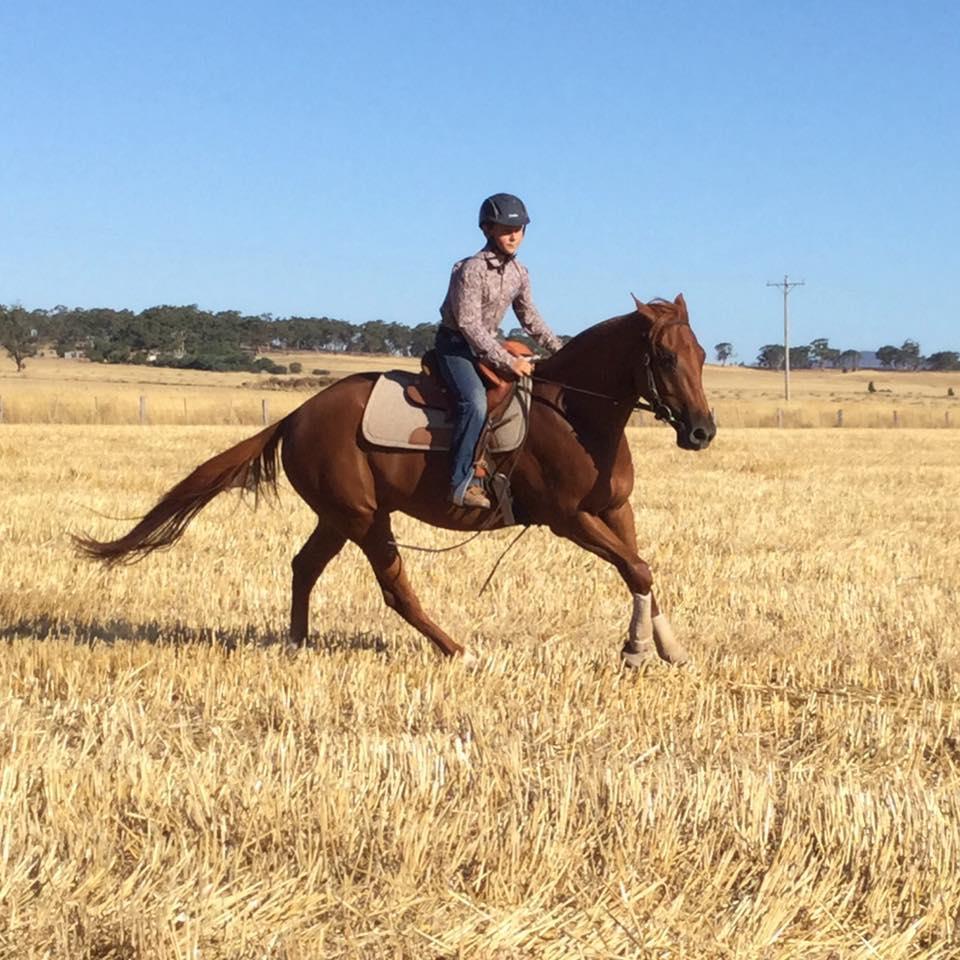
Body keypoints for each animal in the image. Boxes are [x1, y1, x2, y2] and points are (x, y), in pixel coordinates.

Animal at [76, 294, 715, 666]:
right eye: (664, 357)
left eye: (703, 354)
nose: (702, 431)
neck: (576, 413)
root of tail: (296, 415)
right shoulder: (570, 519)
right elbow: (638, 569)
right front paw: (639, 650)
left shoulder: (614, 511)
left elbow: (641, 569)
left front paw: (664, 646)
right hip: (365, 519)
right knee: (395, 588)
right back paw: (456, 650)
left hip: (340, 516)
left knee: (304, 567)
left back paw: (298, 646)